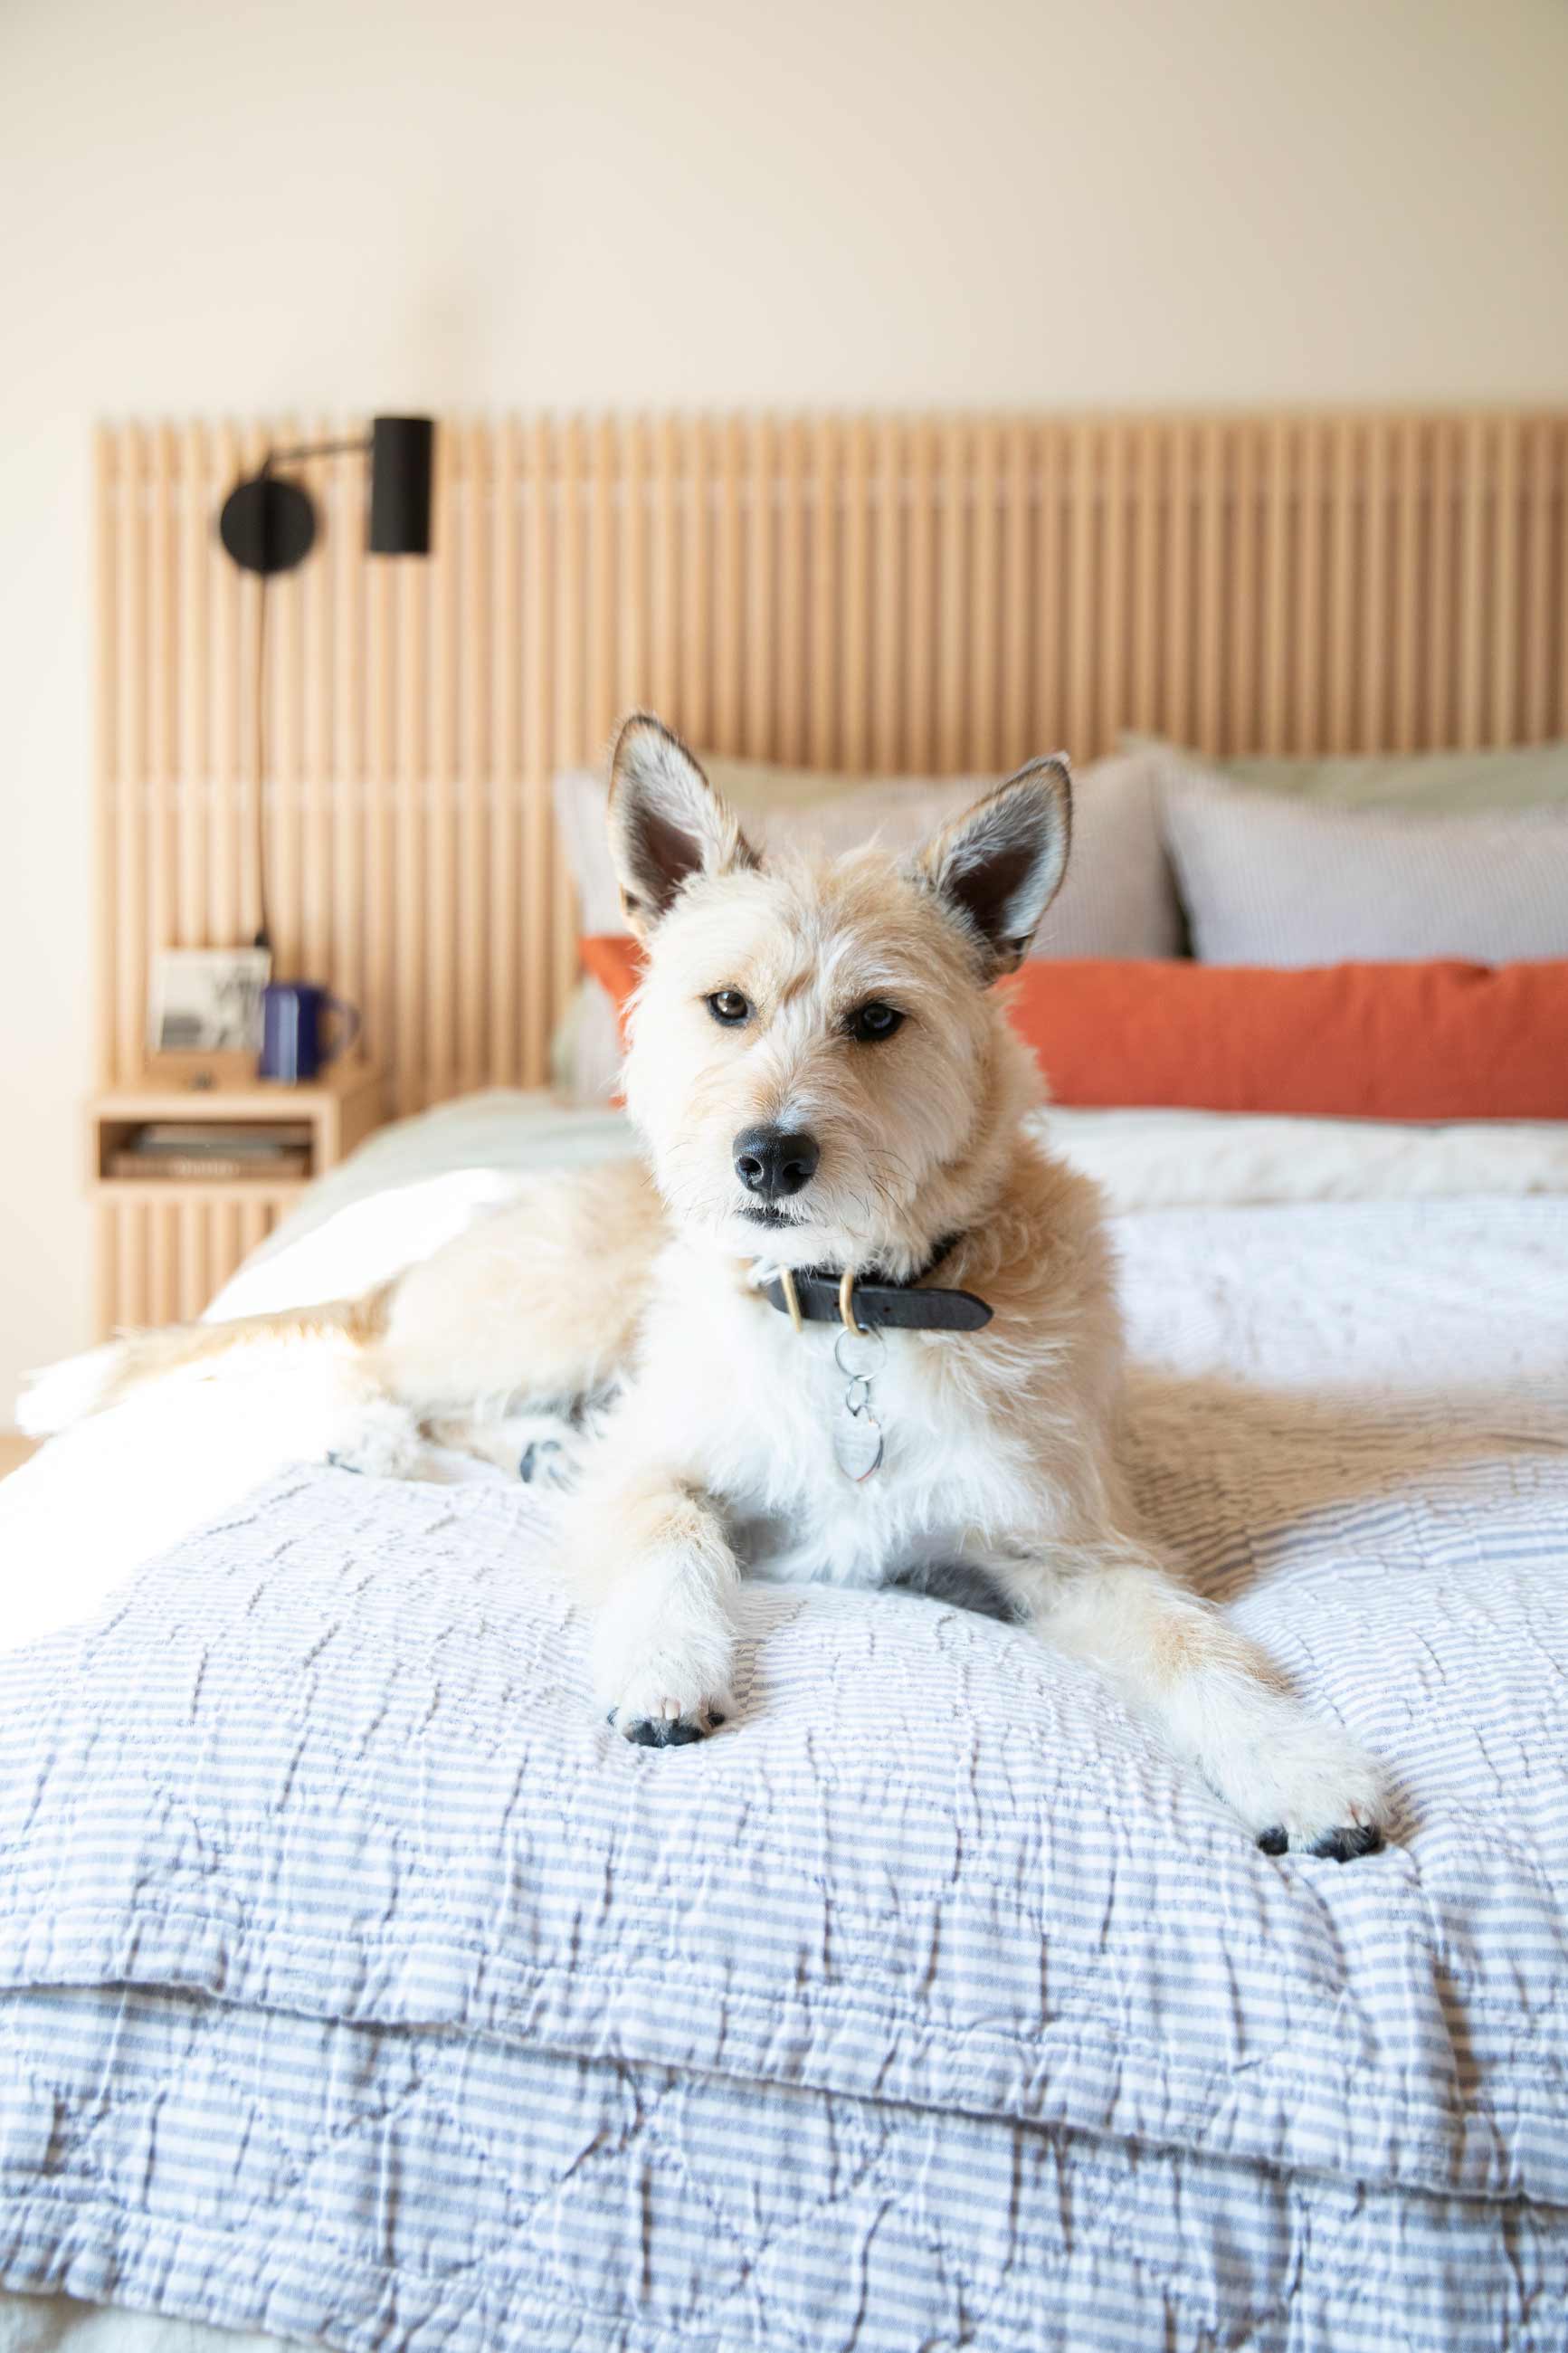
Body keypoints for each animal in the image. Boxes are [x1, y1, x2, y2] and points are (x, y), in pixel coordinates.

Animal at [27, 715, 1382, 1853]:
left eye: (877, 1020)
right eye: (725, 1006)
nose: (767, 1157)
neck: (847, 1305)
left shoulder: (1068, 1546)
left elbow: (1190, 1643)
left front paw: (1294, 1766)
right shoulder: (661, 1468)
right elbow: (668, 1540)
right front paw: (666, 1670)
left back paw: (532, 1447)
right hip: (552, 1315)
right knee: (365, 1360)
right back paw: (374, 1432)